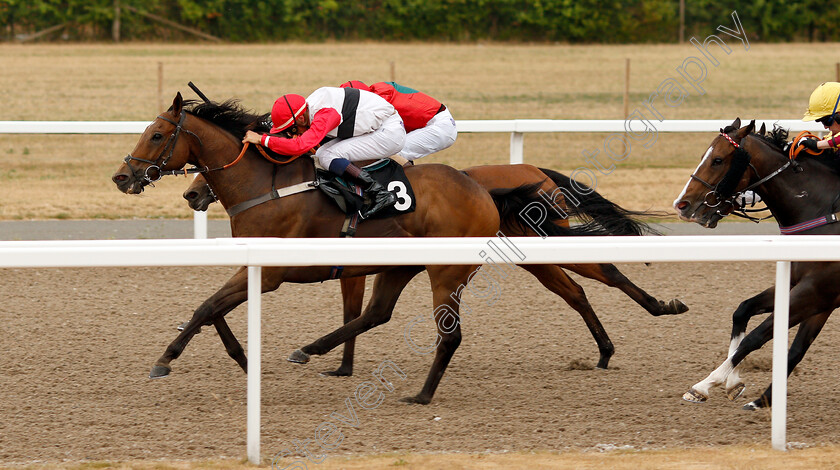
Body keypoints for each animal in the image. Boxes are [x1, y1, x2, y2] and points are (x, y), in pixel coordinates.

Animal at [111, 94, 624, 404]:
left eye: (157, 134)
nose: (122, 176)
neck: (266, 183)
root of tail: (482, 190)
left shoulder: (273, 269)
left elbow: (207, 306)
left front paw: (166, 360)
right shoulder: (259, 265)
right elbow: (213, 308)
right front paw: (241, 357)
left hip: (447, 272)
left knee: (451, 334)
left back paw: (420, 394)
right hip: (400, 265)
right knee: (378, 313)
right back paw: (312, 349)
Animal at [185, 167, 688, 376]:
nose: (192, 194)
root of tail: (535, 173)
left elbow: (354, 313)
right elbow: (357, 315)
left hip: (534, 242)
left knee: (601, 270)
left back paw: (658, 310)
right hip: (534, 250)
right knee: (578, 290)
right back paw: (607, 347)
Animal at [672, 119, 840, 410]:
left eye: (718, 160)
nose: (682, 205)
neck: (822, 211)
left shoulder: (817, 290)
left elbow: (756, 337)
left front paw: (704, 385)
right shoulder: (812, 292)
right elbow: (745, 313)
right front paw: (744, 390)